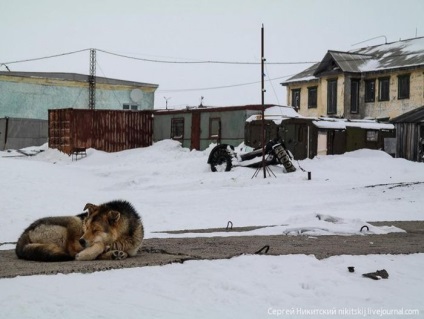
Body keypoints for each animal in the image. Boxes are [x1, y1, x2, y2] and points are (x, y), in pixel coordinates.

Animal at [15, 200, 144, 262]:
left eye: (95, 230)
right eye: (86, 227)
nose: (81, 241)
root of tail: (25, 233)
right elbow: (99, 245)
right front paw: (85, 254)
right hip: (73, 221)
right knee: (72, 251)